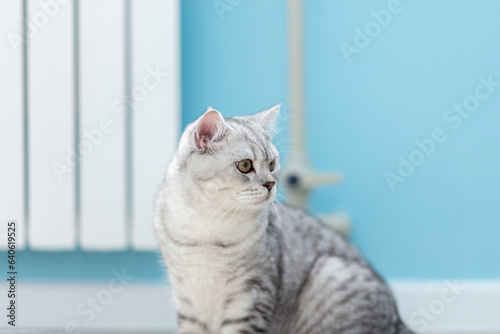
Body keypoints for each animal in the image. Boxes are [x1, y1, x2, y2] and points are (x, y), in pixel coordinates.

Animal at [154, 105, 412, 334]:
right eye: (245, 165)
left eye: (272, 164)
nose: (271, 184)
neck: (206, 228)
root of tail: (397, 320)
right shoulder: (187, 300)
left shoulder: (251, 296)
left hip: (331, 274)